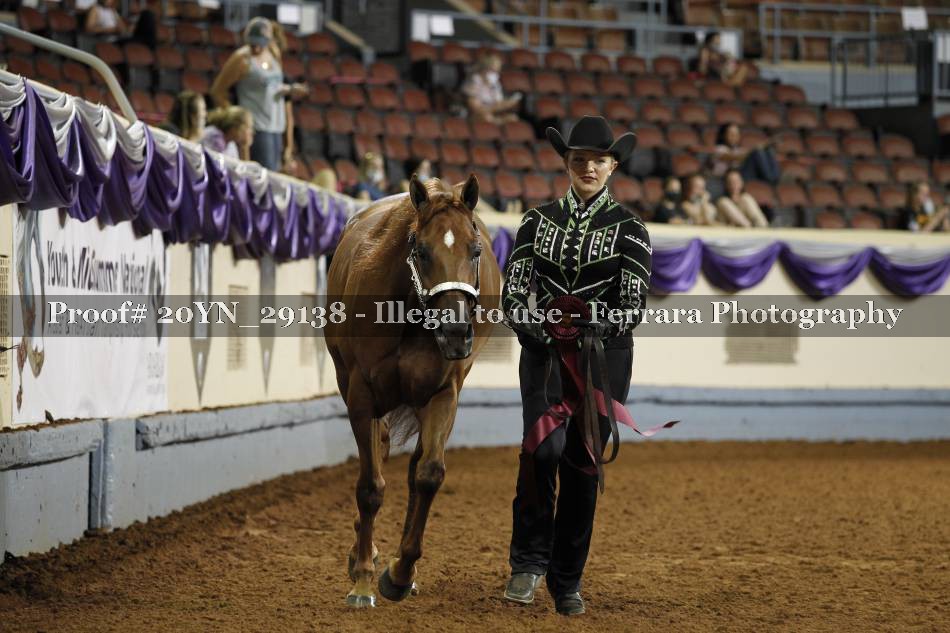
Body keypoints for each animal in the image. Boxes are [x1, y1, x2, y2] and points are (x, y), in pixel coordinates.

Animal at [324, 174, 502, 607]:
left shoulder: (442, 395)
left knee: (412, 469)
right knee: (379, 456)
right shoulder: (362, 396)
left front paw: (400, 573)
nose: (455, 331)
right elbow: (370, 486)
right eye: (421, 251)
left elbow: (428, 474)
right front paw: (363, 579)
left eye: (475, 250)